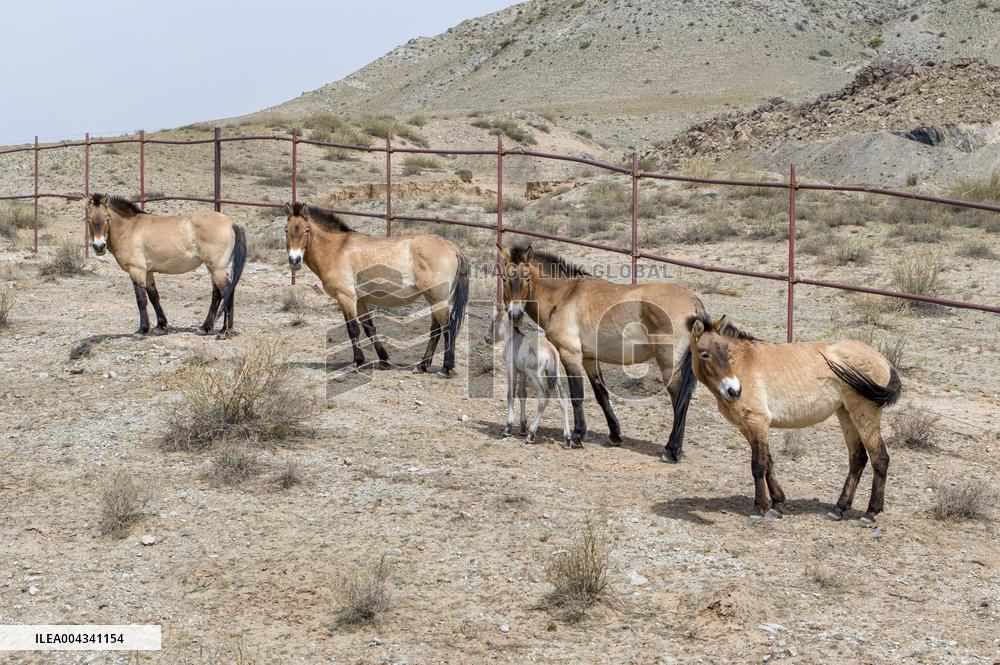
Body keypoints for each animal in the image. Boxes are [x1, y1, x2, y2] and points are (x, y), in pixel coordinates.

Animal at [85, 194, 246, 338]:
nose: (99, 247)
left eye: (107, 218)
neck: (130, 228)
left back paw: (224, 331)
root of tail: (231, 223)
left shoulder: (136, 271)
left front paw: (142, 330)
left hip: (216, 269)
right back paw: (205, 328)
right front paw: (161, 326)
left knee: (227, 291)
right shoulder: (148, 272)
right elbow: (154, 296)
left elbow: (141, 299)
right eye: (89, 219)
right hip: (214, 269)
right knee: (217, 293)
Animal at [284, 202, 469, 377]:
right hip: (434, 299)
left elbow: (353, 329)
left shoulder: (346, 298)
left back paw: (445, 368)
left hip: (437, 299)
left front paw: (357, 362)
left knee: (447, 327)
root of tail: (451, 246)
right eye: (286, 230)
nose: (295, 260)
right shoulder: (359, 300)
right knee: (435, 330)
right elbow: (369, 328)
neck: (337, 249)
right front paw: (384, 360)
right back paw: (421, 366)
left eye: (306, 230)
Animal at [486, 303, 572, 448]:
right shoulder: (522, 371)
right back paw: (568, 439)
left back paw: (531, 434)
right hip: (555, 375)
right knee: (563, 398)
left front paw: (508, 428)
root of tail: (551, 351)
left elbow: (510, 394)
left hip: (534, 374)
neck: (512, 339)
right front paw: (522, 428)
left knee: (544, 396)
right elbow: (522, 394)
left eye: (494, 321)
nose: (486, 338)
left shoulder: (512, 368)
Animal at [499, 243, 705, 460]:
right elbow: (601, 394)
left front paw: (577, 436)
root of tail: (694, 302)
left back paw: (671, 450)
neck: (564, 296)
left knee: (679, 399)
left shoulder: (570, 355)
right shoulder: (589, 359)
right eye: (504, 279)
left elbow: (577, 394)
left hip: (668, 365)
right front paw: (614, 434)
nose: (515, 314)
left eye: (527, 278)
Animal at [686, 312, 902, 524]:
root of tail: (883, 360)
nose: (734, 391)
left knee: (880, 458)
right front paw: (777, 505)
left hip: (865, 415)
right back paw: (838, 509)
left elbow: (758, 465)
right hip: (846, 415)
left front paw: (759, 508)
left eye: (725, 351)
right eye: (705, 354)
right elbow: (769, 462)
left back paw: (870, 513)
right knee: (858, 459)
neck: (743, 362)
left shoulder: (757, 422)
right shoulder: (746, 427)